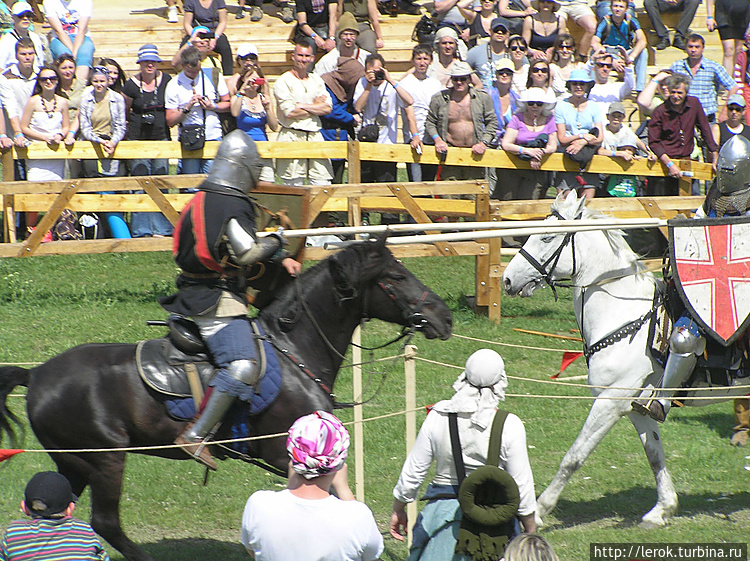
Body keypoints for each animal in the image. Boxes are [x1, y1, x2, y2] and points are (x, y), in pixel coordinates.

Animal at [0, 238, 452, 560]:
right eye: (394, 277)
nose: (444, 316)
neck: (294, 350)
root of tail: (37, 374)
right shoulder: (284, 454)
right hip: (105, 459)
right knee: (106, 521)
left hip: (74, 462)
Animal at [502, 191, 750, 524]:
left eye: (547, 237)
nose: (507, 280)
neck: (623, 314)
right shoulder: (635, 406)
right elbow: (654, 455)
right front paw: (662, 508)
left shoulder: (610, 401)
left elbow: (574, 456)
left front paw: (539, 512)